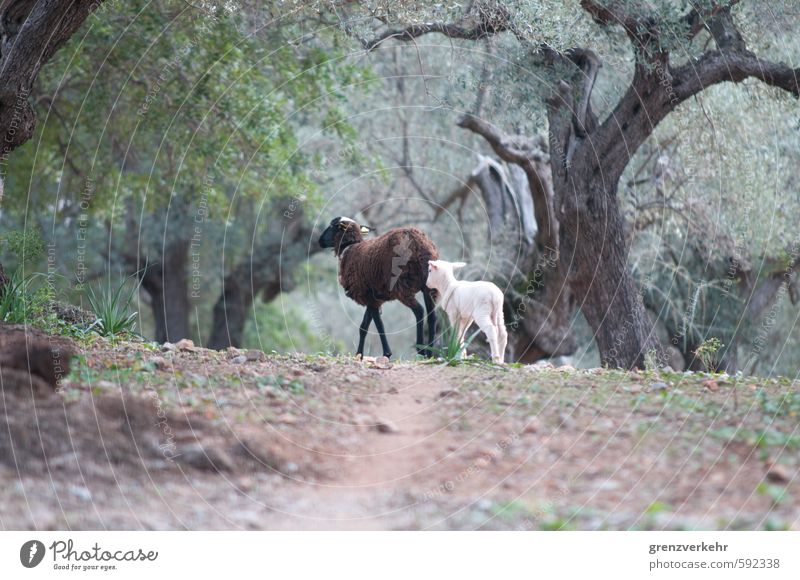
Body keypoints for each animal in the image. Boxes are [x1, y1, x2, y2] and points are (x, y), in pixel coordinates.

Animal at [320, 218, 440, 358]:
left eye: (332, 226)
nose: (320, 241)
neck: (350, 249)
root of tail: (415, 239)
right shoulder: (372, 297)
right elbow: (363, 327)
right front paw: (359, 354)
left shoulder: (368, 295)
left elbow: (379, 325)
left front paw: (386, 353)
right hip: (428, 285)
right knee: (432, 317)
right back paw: (431, 354)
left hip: (400, 286)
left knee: (419, 311)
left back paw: (421, 351)